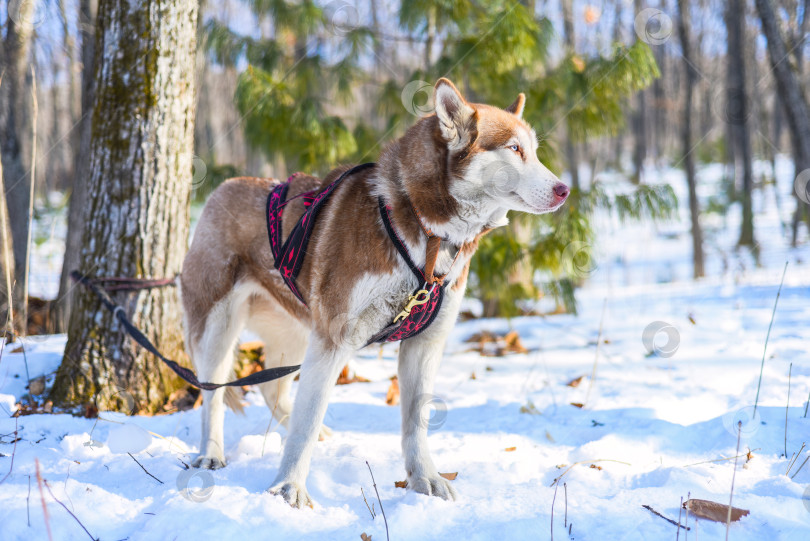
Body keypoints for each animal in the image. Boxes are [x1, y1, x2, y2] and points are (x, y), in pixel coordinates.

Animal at [179, 77, 564, 506]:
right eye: (514, 149)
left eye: (534, 151)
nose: (564, 189)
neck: (428, 235)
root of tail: (222, 189)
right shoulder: (333, 339)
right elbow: (306, 423)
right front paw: (289, 487)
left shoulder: (424, 343)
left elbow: (415, 424)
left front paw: (424, 479)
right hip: (218, 327)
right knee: (212, 393)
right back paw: (210, 454)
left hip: (294, 331)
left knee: (270, 386)